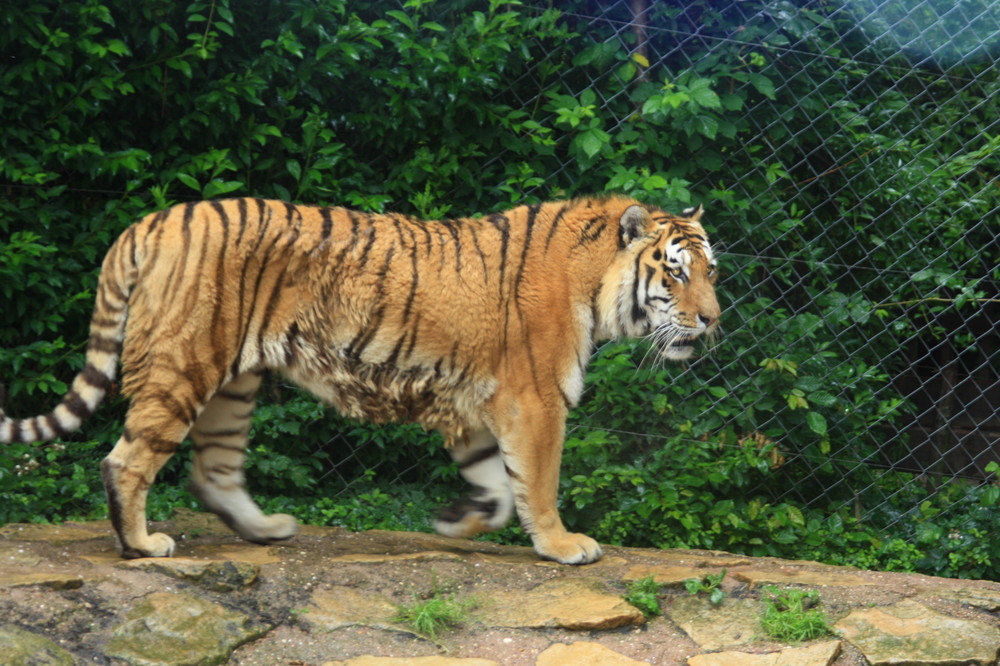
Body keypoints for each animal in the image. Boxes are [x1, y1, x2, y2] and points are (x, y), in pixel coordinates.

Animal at [0, 195, 720, 564]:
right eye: (676, 271)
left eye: (711, 270)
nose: (713, 319)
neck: (596, 283)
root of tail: (148, 221)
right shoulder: (536, 399)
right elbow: (537, 482)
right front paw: (564, 545)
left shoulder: (476, 397)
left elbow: (495, 486)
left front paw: (455, 522)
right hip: (184, 363)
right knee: (125, 460)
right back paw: (143, 545)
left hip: (234, 382)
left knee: (214, 472)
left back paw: (266, 530)